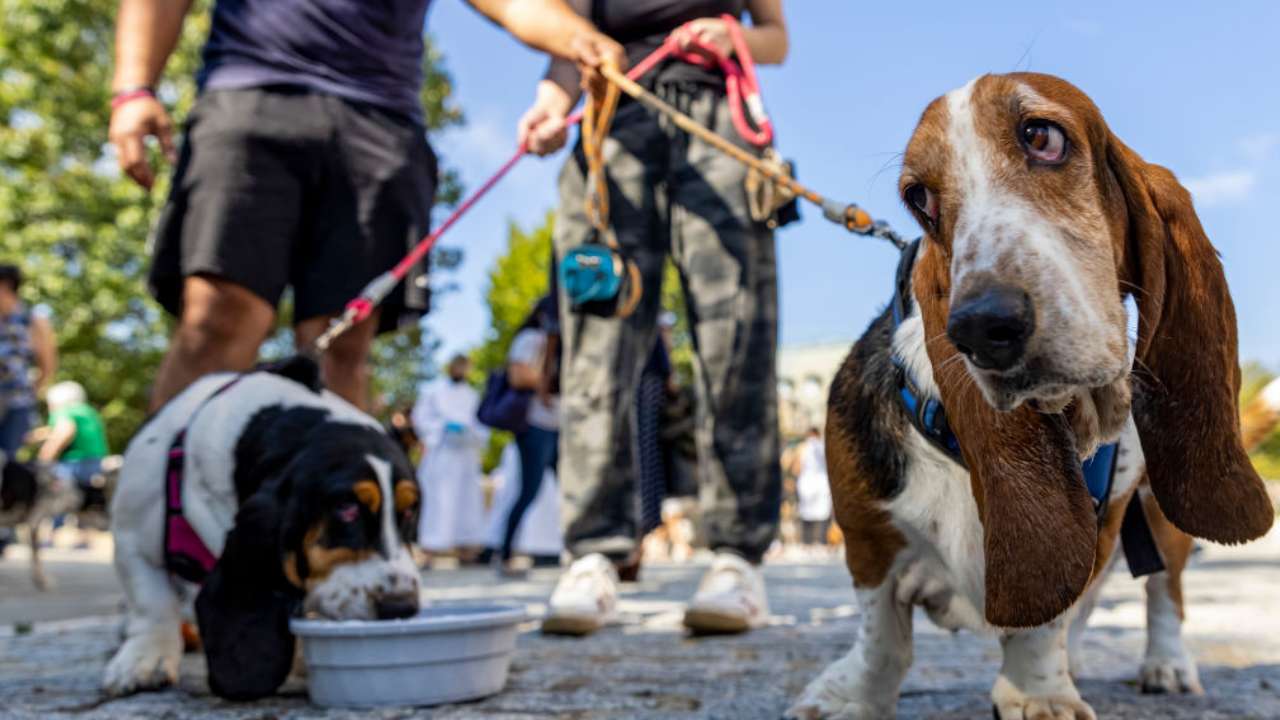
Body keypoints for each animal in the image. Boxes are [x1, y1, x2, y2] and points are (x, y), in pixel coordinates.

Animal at [104, 356, 422, 696]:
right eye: (345, 509)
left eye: (408, 511)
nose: (402, 607)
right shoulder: (132, 539)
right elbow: (151, 603)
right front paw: (144, 661)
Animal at [783, 74, 1274, 717]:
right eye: (920, 199)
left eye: (1042, 137)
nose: (981, 327)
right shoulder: (867, 538)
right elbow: (881, 635)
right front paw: (852, 697)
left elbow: (1046, 625)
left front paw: (1039, 694)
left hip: (1159, 509)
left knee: (1163, 592)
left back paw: (1165, 664)